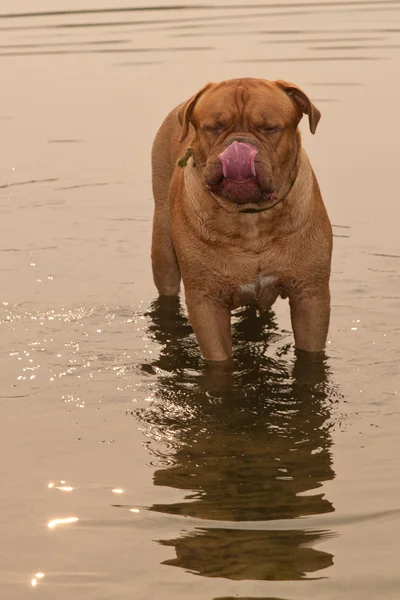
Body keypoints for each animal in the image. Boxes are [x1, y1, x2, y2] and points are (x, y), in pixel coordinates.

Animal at [150, 78, 332, 364]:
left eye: (270, 128)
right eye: (213, 127)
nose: (239, 147)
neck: (251, 219)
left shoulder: (311, 295)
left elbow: (311, 354)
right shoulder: (206, 301)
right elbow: (219, 358)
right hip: (163, 250)